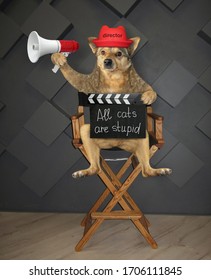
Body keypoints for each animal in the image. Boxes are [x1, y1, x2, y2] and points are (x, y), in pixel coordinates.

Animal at [51, 25, 171, 177]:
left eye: (119, 54)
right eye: (102, 52)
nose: (107, 61)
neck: (114, 78)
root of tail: (116, 145)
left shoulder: (142, 85)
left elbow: (152, 90)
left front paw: (148, 96)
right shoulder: (86, 84)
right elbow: (74, 77)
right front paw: (57, 57)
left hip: (138, 137)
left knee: (145, 170)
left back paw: (157, 171)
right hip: (92, 136)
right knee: (96, 166)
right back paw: (85, 172)